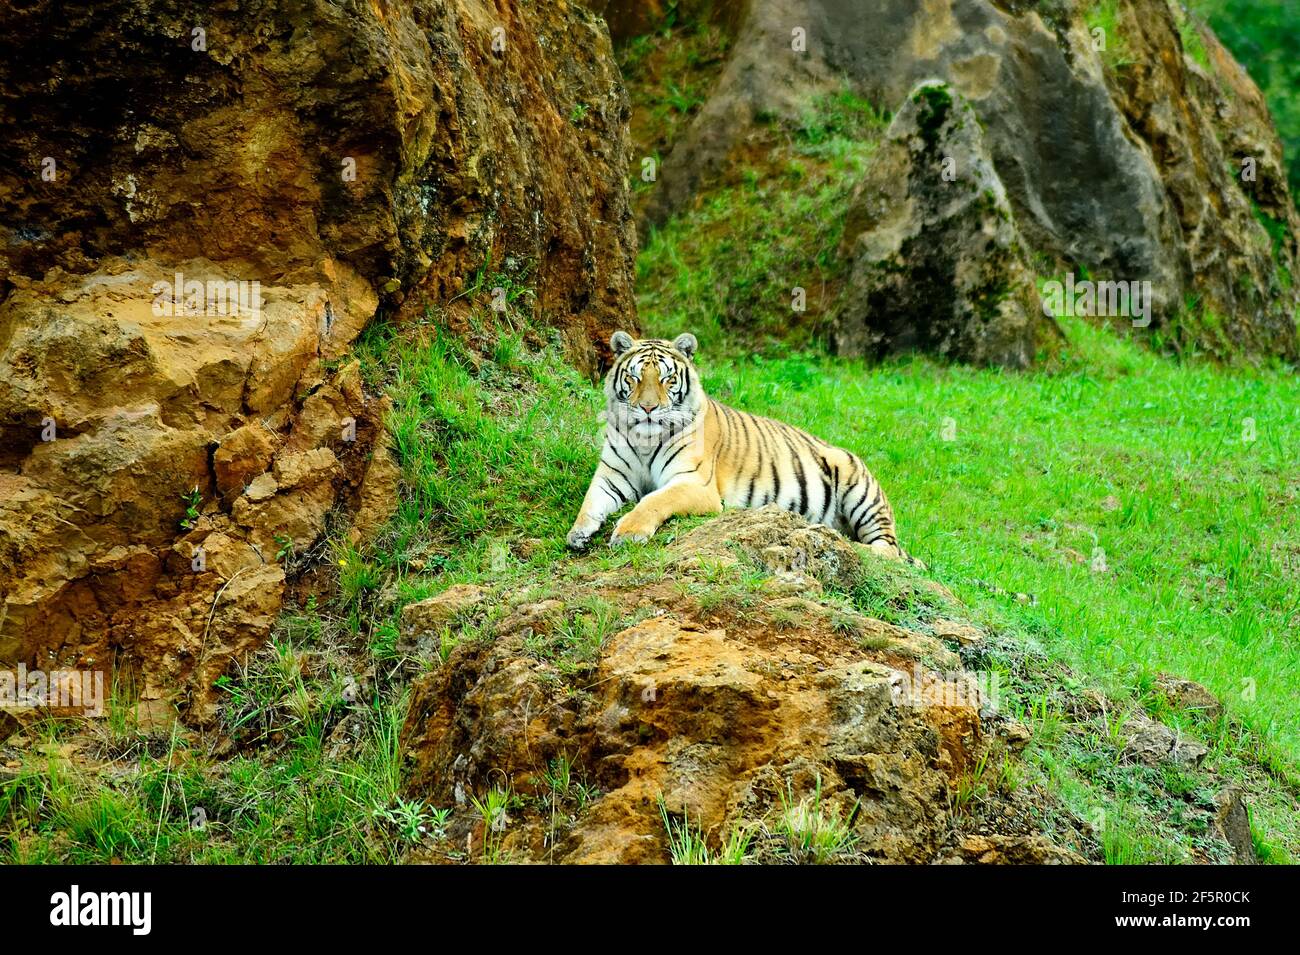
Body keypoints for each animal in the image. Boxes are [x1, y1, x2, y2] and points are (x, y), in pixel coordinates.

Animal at [569, 335, 915, 563]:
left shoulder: (695, 484)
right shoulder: (612, 478)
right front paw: (577, 534)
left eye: (667, 379)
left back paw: (851, 544)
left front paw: (628, 532)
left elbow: (654, 500)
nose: (648, 408)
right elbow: (590, 503)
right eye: (634, 377)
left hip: (859, 490)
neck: (644, 439)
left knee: (890, 549)